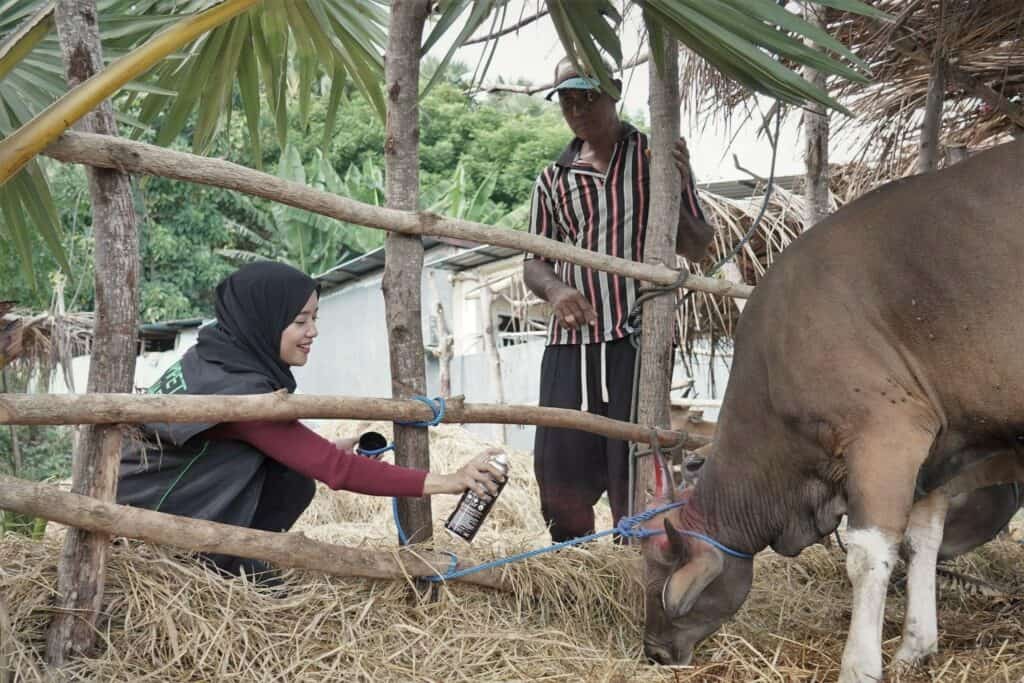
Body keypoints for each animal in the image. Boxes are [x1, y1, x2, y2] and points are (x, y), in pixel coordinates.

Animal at [638, 140, 1024, 683]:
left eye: (658, 576)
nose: (654, 651)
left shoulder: (887, 436)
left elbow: (868, 555)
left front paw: (860, 665)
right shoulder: (936, 453)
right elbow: (922, 540)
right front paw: (915, 646)